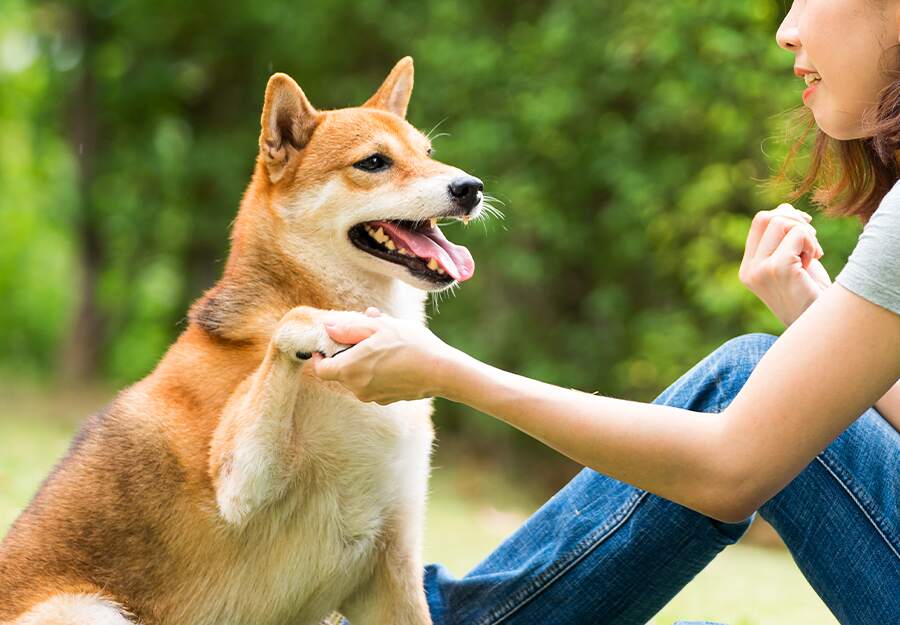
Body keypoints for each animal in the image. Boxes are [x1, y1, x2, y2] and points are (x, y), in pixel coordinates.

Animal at [0, 57, 486, 624]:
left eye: (427, 154)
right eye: (373, 162)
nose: (471, 187)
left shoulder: (392, 568)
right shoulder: (239, 488)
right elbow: (290, 333)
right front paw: (311, 327)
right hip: (87, 609)